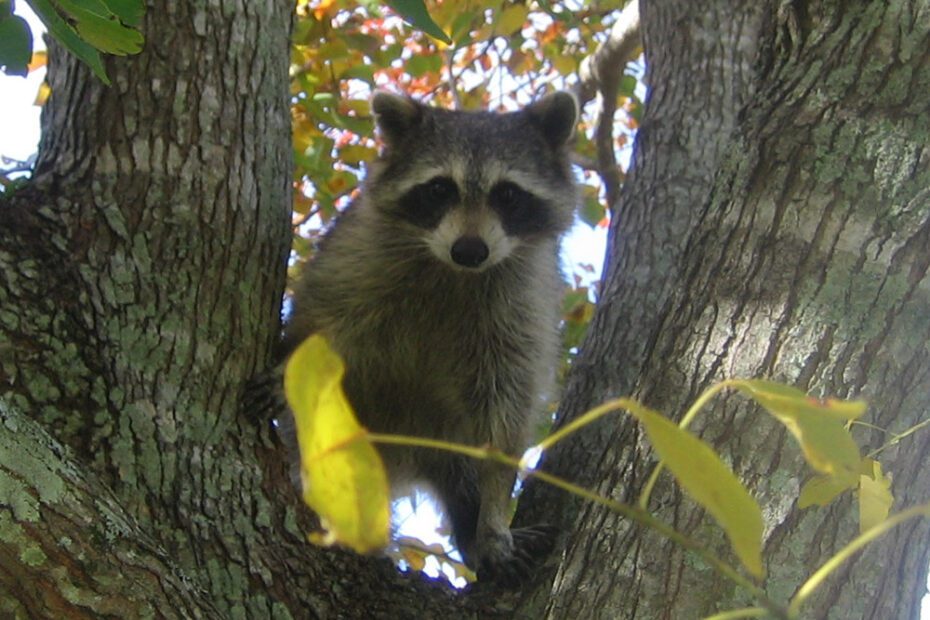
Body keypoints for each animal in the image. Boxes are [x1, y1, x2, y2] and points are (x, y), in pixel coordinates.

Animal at [264, 91, 576, 580]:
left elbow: (503, 419)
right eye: (440, 189)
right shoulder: (357, 258)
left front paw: (492, 520)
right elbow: (319, 328)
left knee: (461, 469)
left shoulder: (521, 308)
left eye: (507, 193)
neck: (454, 272)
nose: (470, 250)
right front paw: (287, 372)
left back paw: (469, 524)